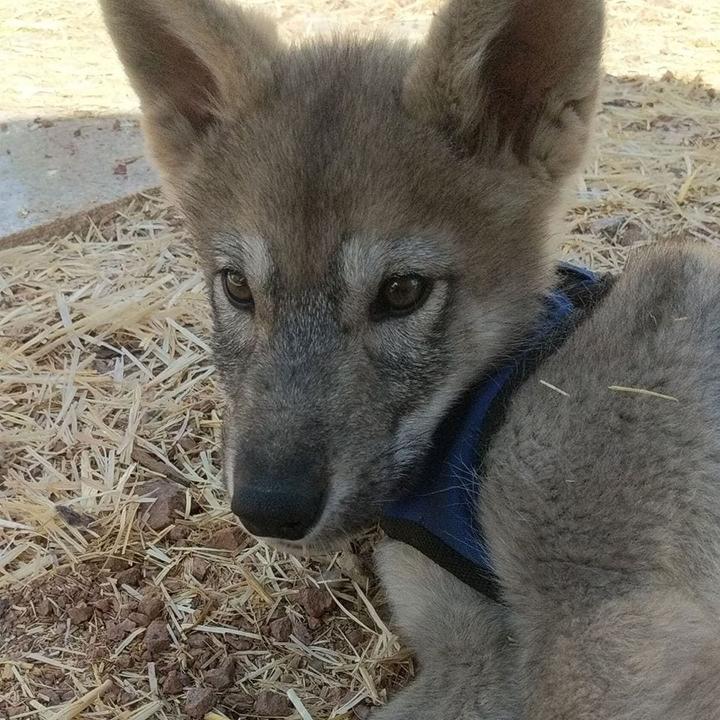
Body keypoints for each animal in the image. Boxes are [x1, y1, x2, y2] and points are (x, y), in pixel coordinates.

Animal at [101, 0, 720, 717]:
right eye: (236, 287)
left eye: (402, 292)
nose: (268, 508)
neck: (500, 388)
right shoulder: (465, 633)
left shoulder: (572, 643)